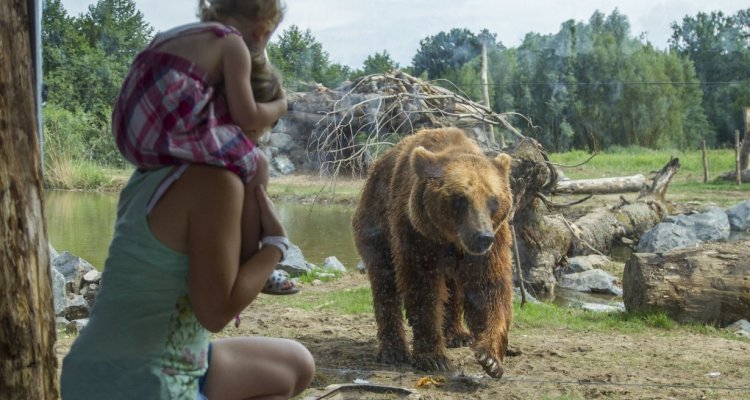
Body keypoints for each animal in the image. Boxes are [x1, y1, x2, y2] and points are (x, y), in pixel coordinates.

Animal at [354, 126, 516, 376]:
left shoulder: (495, 240)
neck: (450, 238)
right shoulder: (417, 233)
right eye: (461, 198)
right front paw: (433, 358)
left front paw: (490, 358)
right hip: (376, 222)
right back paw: (393, 350)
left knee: (453, 287)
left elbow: (488, 287)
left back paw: (458, 335)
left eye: (493, 200)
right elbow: (422, 287)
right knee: (384, 282)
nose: (482, 237)